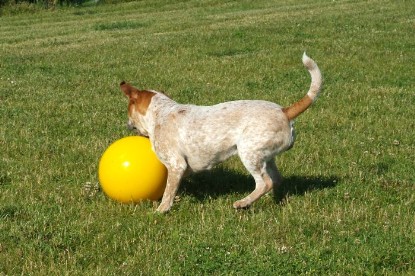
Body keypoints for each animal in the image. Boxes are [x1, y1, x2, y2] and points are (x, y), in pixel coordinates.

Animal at [119, 52, 322, 212]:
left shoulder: (177, 165)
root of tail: (284, 111)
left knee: (265, 182)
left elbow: (168, 191)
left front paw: (160, 210)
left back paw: (242, 203)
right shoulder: (185, 170)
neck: (161, 112)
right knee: (277, 179)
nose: (127, 124)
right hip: (266, 156)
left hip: (248, 152)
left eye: (128, 109)